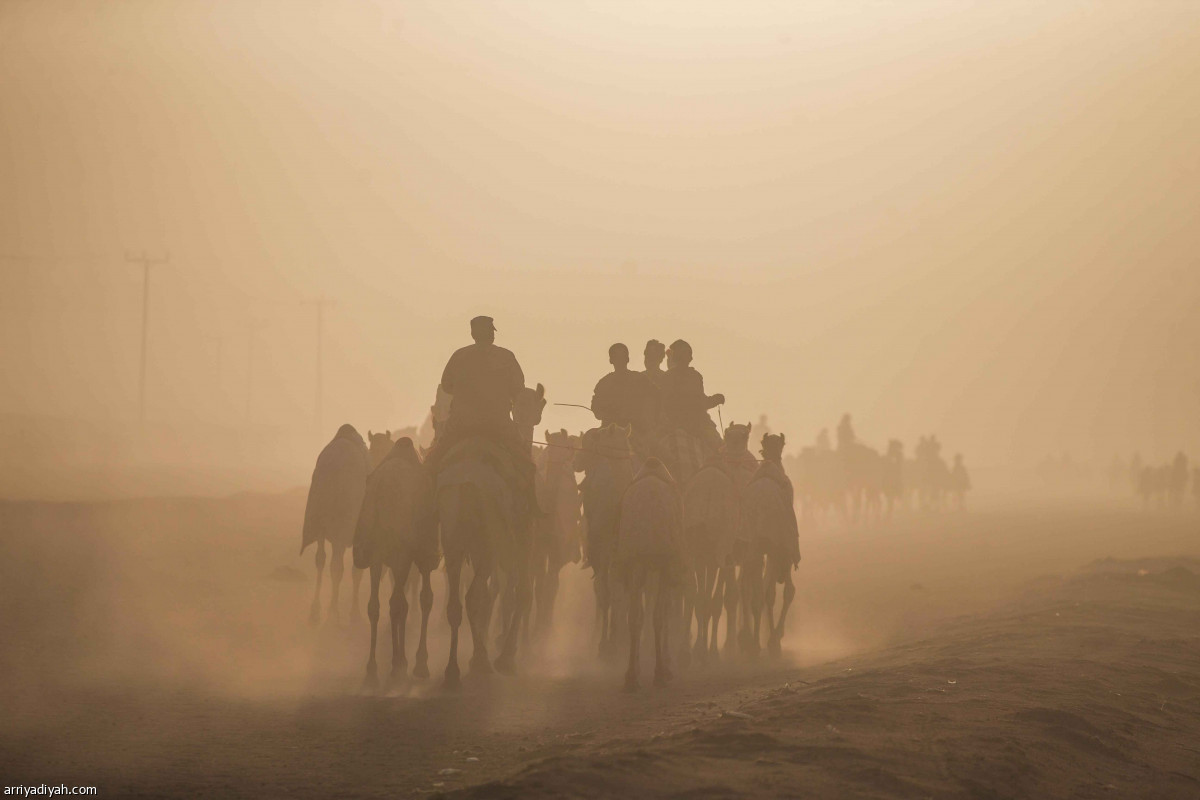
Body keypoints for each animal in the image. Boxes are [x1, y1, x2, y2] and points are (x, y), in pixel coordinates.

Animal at [298, 422, 367, 628]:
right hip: (341, 525)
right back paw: (333, 613)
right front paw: (354, 614)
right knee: (336, 566)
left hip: (323, 523)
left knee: (321, 559)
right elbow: (354, 570)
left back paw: (316, 610)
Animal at [352, 438, 439, 690]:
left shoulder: (389, 559)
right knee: (396, 603)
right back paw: (396, 667)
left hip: (376, 553)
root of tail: (382, 488)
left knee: (376, 606)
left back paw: (372, 670)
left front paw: (404, 661)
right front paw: (417, 663)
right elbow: (424, 599)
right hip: (401, 554)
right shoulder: (421, 557)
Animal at [573, 422, 638, 662]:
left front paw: (612, 641)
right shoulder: (610, 555)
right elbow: (612, 594)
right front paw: (609, 641)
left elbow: (614, 595)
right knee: (608, 593)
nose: (576, 460)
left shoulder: (615, 556)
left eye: (591, 441)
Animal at [619, 460, 686, 690]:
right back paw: (658, 672)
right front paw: (663, 669)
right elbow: (662, 614)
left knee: (634, 616)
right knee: (657, 614)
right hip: (659, 564)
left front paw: (638, 670)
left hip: (636, 563)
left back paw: (631, 676)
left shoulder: (638, 564)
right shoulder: (667, 565)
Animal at [739, 434, 796, 662]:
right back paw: (767, 641)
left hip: (752, 548)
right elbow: (785, 592)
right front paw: (775, 638)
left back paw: (752, 644)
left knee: (751, 593)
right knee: (769, 593)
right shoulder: (782, 549)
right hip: (773, 548)